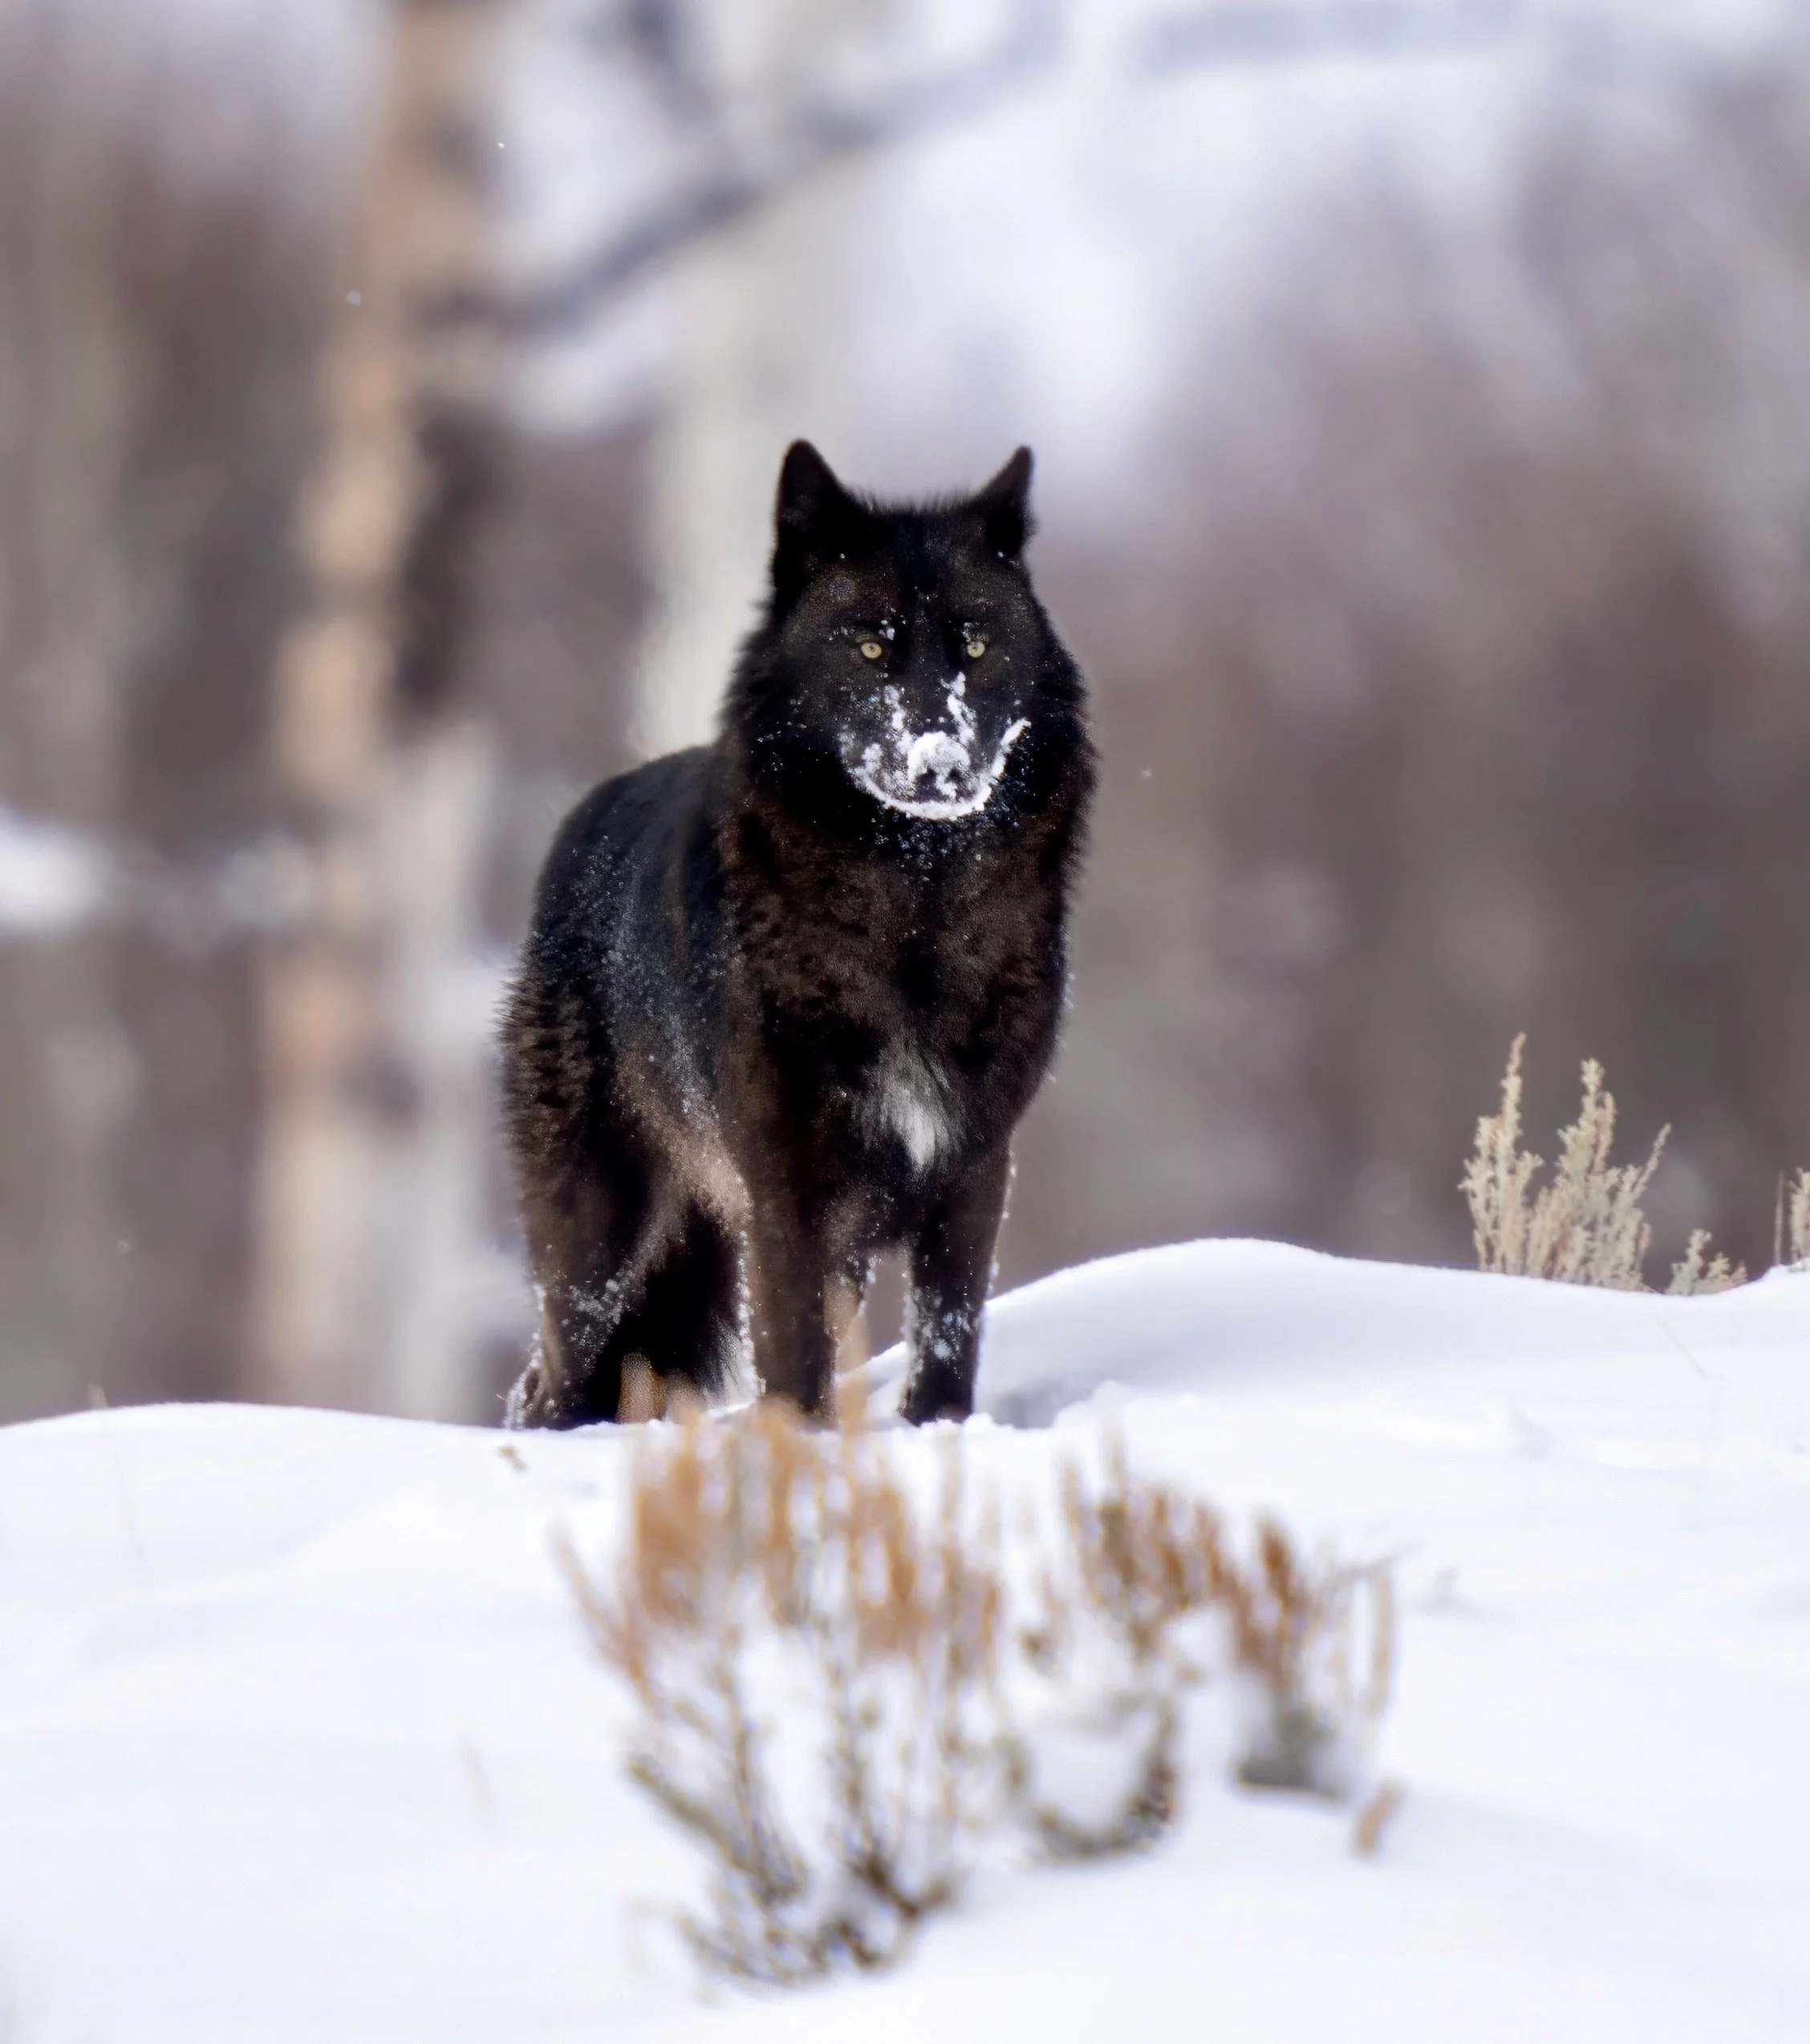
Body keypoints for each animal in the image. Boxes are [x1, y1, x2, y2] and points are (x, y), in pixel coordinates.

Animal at [500, 441, 1095, 1426]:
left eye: (974, 644)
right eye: (870, 646)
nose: (940, 765)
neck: (913, 919)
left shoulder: (974, 1167)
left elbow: (947, 1337)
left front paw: (939, 1434)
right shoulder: (789, 1192)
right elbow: (797, 1360)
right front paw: (802, 1453)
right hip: (598, 1243)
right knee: (542, 1385)